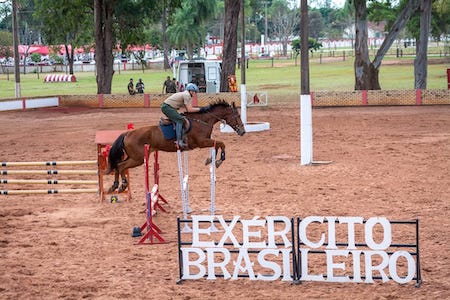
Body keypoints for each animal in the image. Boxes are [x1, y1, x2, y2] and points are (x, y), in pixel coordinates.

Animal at [105, 98, 246, 192]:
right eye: (237, 115)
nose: (243, 131)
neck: (203, 121)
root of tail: (127, 134)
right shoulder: (202, 142)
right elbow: (221, 144)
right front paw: (218, 161)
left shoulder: (206, 141)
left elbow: (217, 145)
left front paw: (211, 160)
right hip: (138, 158)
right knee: (121, 166)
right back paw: (122, 185)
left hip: (134, 157)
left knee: (118, 165)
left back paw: (116, 185)